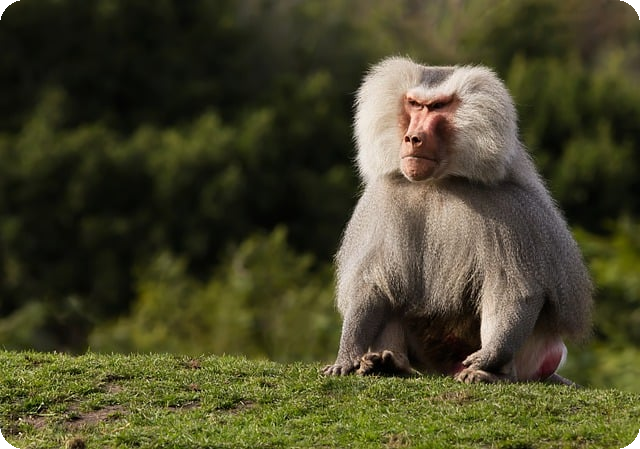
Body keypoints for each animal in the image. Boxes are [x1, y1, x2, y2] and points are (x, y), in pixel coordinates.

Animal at [322, 57, 593, 384]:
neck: (438, 182)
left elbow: (518, 289)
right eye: (414, 104)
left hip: (534, 353)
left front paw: (489, 357)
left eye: (438, 107)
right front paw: (347, 356)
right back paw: (389, 363)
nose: (412, 138)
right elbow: (372, 284)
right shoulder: (385, 200)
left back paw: (490, 373)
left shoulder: (512, 209)